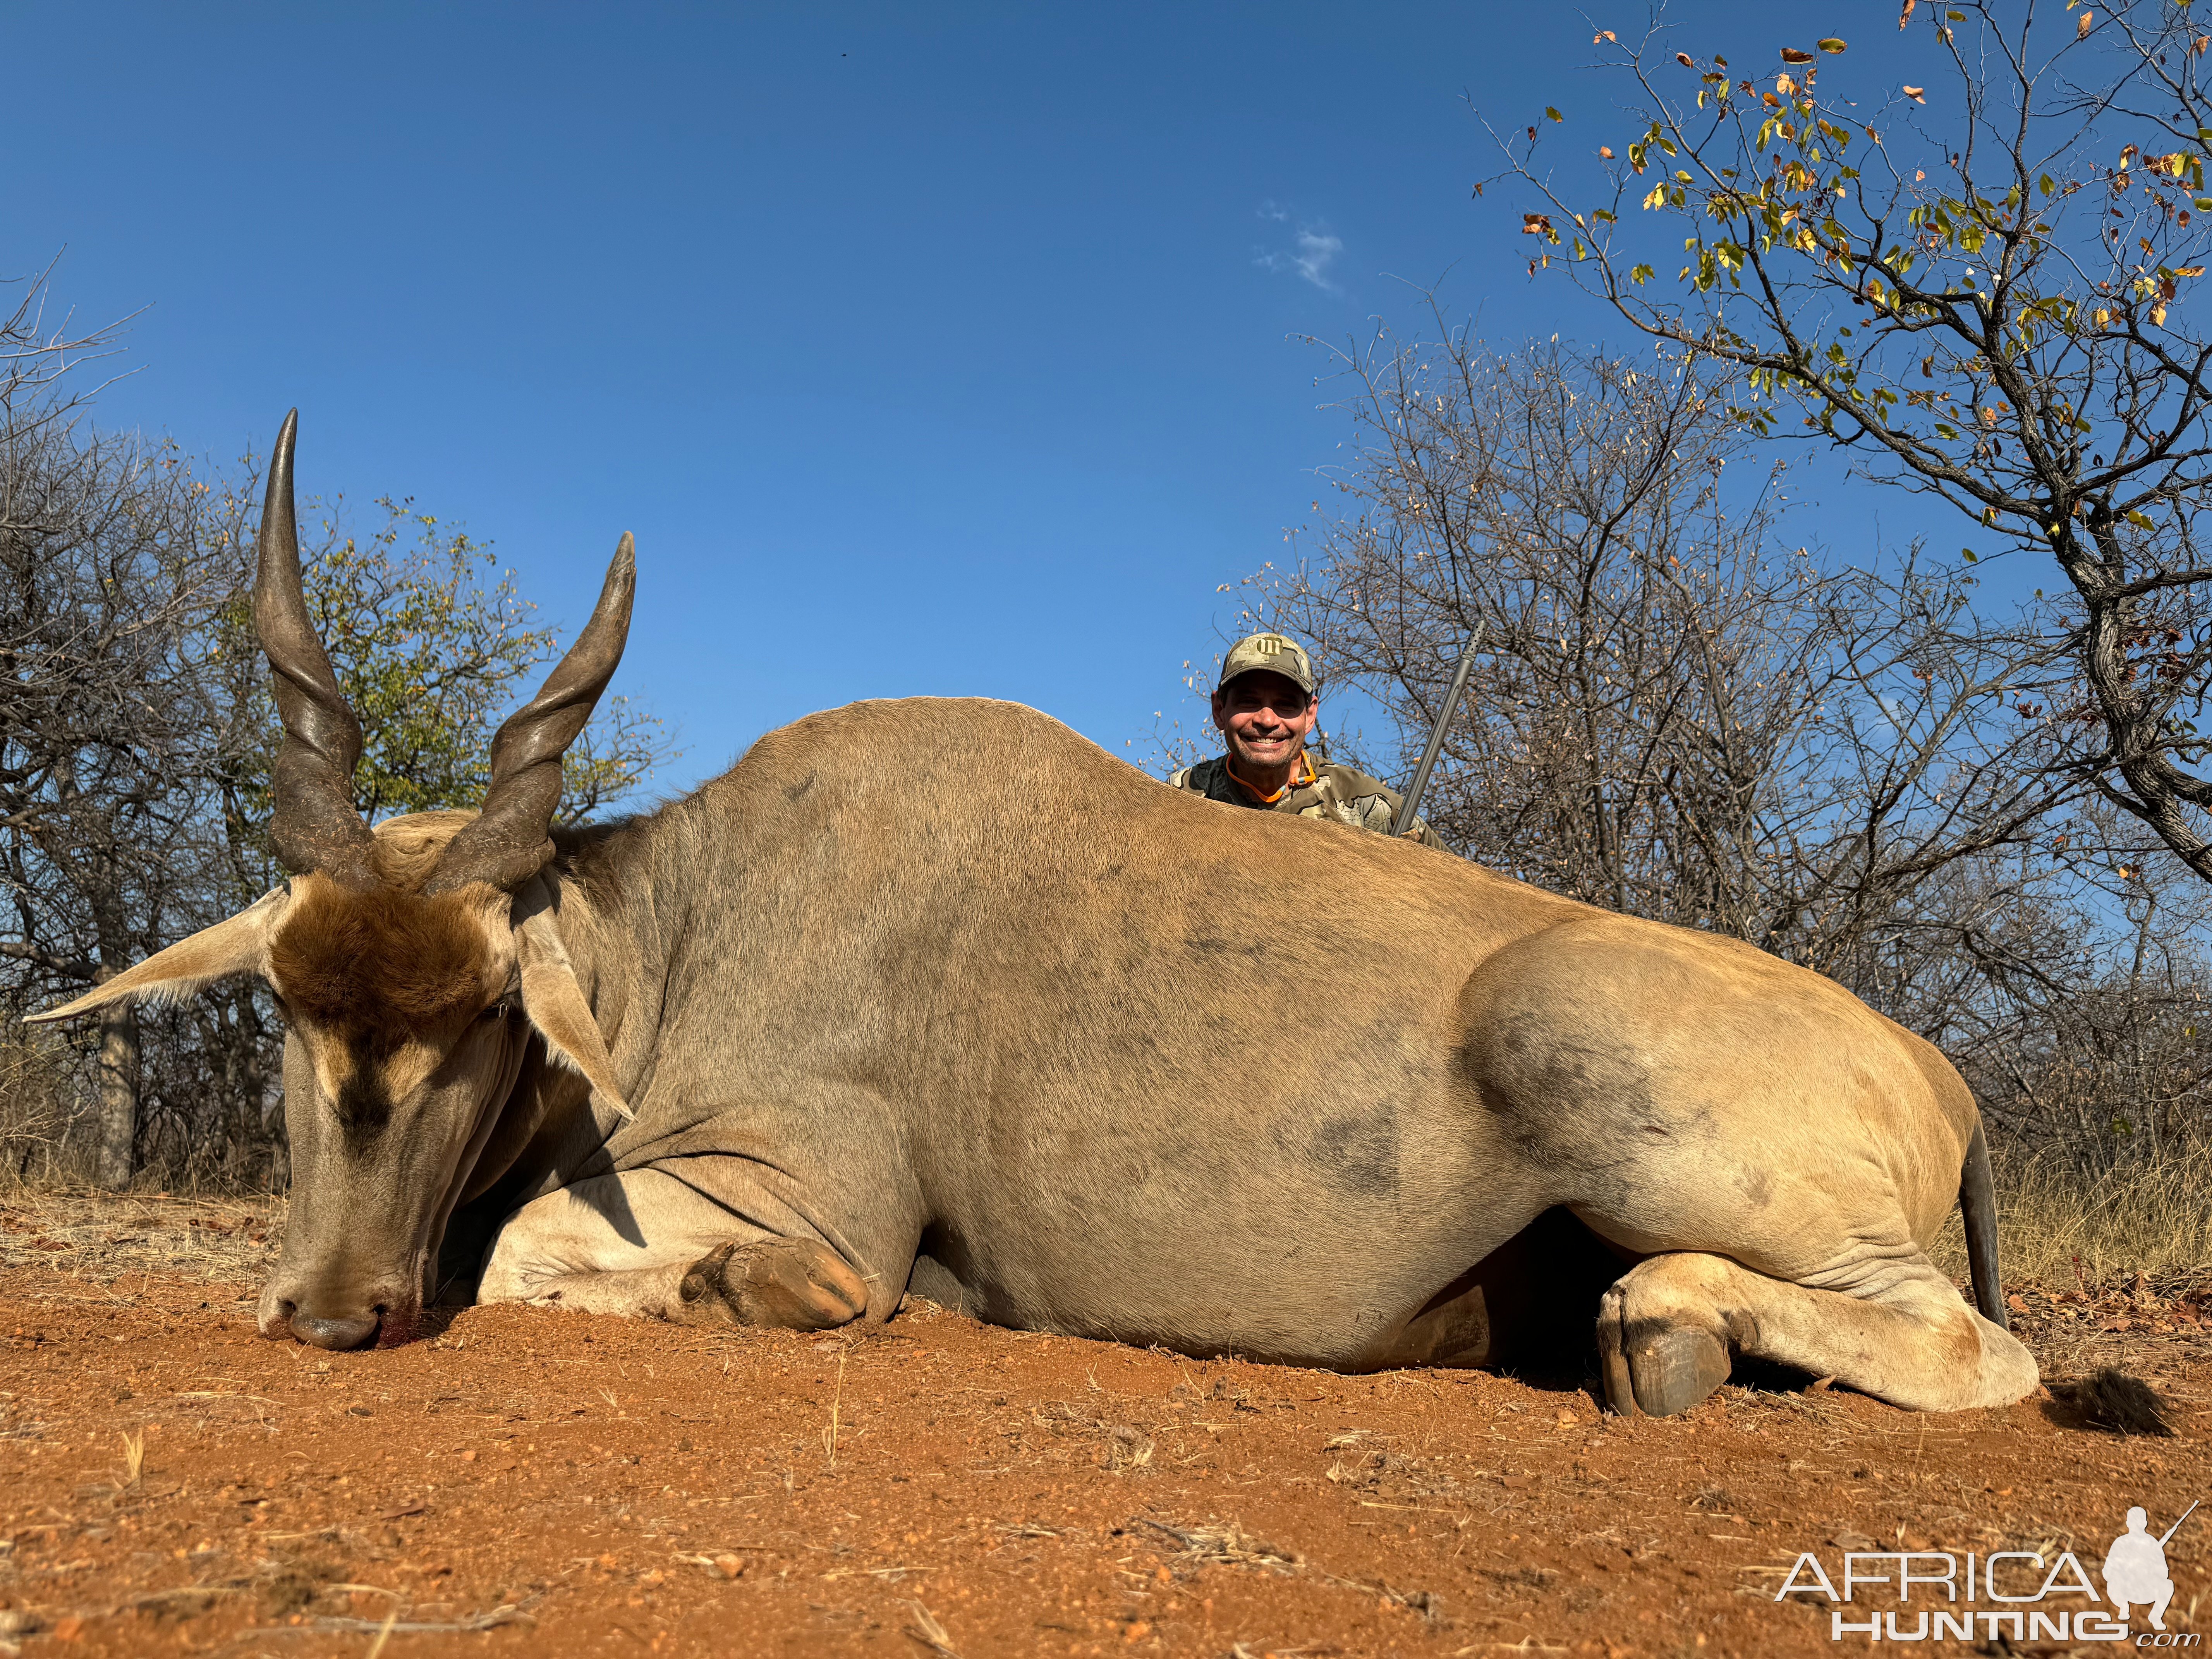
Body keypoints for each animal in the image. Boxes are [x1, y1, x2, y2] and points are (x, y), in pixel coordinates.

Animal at [30, 414, 2035, 1415]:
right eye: (290, 1004)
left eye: (482, 1023)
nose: (329, 1313)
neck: (683, 917)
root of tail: (1940, 1074)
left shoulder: (803, 1192)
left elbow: (558, 1258)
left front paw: (768, 1299)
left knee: (1975, 1352)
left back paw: (1664, 1329)